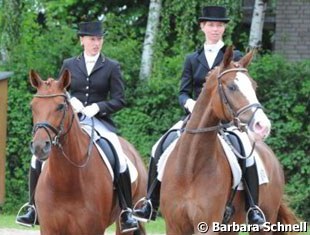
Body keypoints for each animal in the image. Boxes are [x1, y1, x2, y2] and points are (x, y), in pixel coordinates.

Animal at [28, 70, 147, 235]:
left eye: (60, 107)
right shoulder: (49, 229)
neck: (66, 182)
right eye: (33, 106)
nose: (39, 147)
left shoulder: (93, 229)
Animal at [160, 46, 298, 234]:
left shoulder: (207, 225)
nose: (263, 126)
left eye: (254, 86)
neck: (190, 167)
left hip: (265, 220)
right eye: (232, 87)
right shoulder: (174, 226)